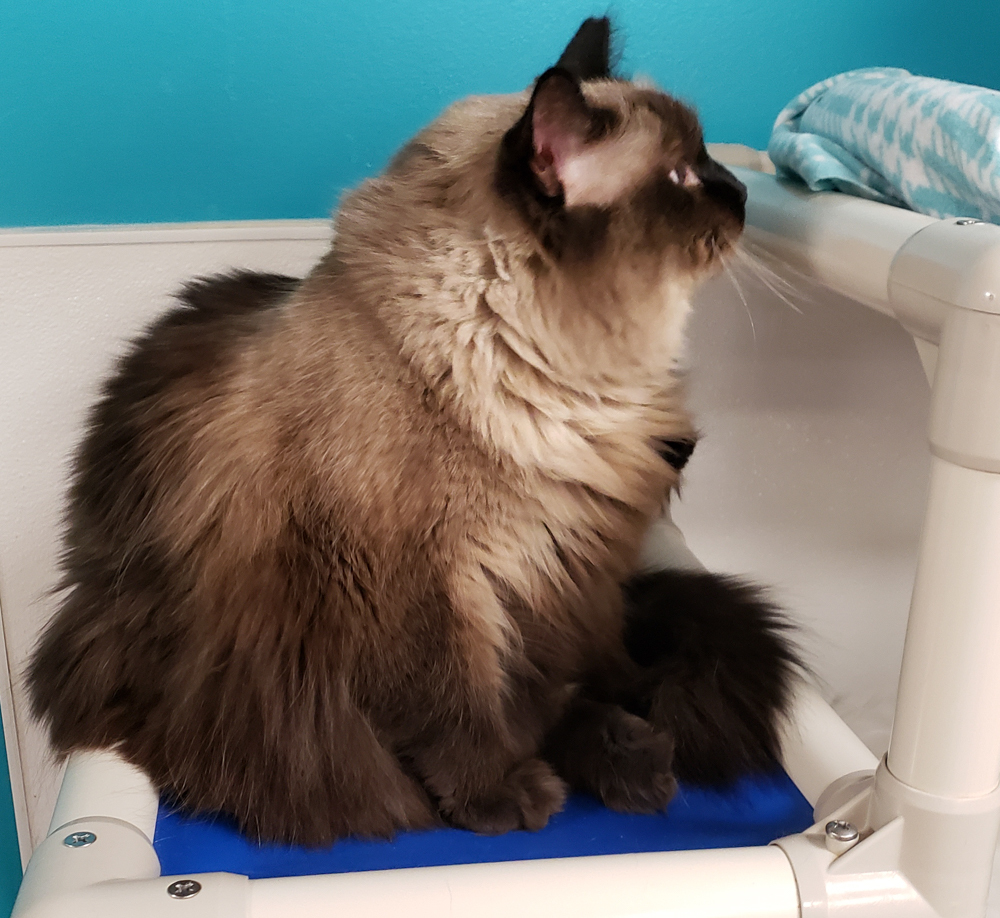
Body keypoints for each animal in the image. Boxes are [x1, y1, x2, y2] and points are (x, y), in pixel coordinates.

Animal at [27, 16, 800, 848]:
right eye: (684, 178)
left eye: (707, 161)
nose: (743, 192)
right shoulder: (422, 589)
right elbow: (456, 713)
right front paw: (497, 797)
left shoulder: (554, 572)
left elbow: (541, 693)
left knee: (597, 680)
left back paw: (637, 761)